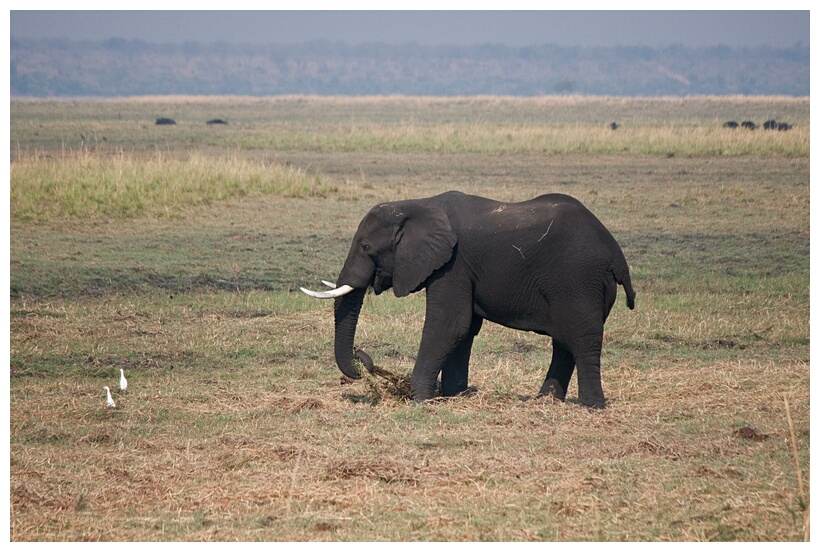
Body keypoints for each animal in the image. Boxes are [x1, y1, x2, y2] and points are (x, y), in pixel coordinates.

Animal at [304, 192, 636, 408]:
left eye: (366, 247)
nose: (363, 356)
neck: (416, 204)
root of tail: (616, 253)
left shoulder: (453, 264)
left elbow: (449, 325)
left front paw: (420, 400)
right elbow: (464, 330)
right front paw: (454, 396)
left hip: (579, 280)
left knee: (581, 337)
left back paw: (591, 406)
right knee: (564, 341)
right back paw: (545, 401)